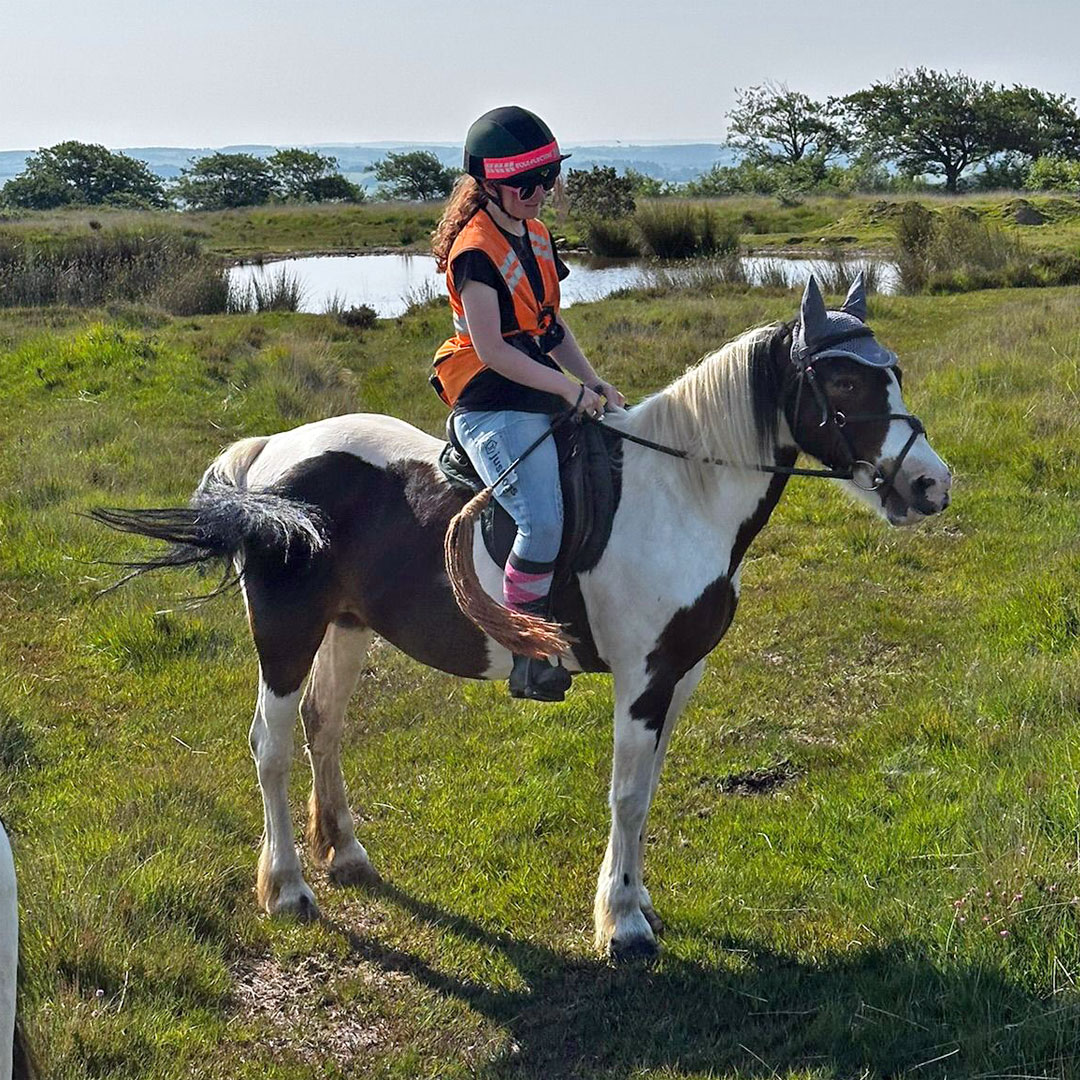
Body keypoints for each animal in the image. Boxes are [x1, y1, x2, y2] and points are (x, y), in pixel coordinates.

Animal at [93, 276, 951, 959]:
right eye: (843, 385)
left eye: (895, 374)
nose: (931, 486)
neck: (682, 493)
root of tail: (271, 455)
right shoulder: (643, 676)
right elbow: (627, 794)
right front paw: (622, 926)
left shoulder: (681, 673)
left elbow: (647, 790)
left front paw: (637, 902)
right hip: (286, 632)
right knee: (270, 745)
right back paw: (289, 889)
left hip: (346, 626)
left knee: (322, 725)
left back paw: (346, 853)